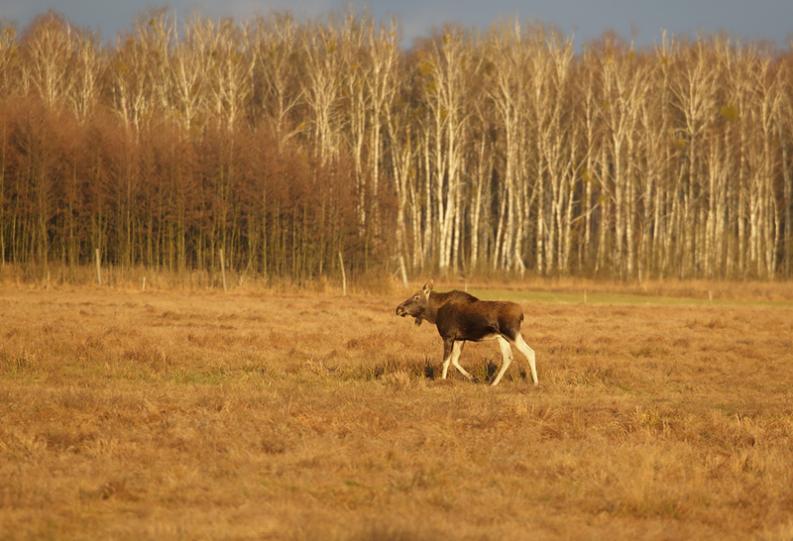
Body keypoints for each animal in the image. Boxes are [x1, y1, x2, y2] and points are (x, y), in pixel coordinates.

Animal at [396, 282, 540, 384]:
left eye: (416, 296)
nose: (399, 309)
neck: (434, 313)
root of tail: (521, 314)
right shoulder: (460, 338)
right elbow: (455, 360)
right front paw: (473, 378)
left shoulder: (448, 336)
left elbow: (445, 361)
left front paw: (442, 380)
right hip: (502, 337)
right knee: (508, 357)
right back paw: (494, 383)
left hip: (512, 333)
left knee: (530, 352)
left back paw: (535, 382)